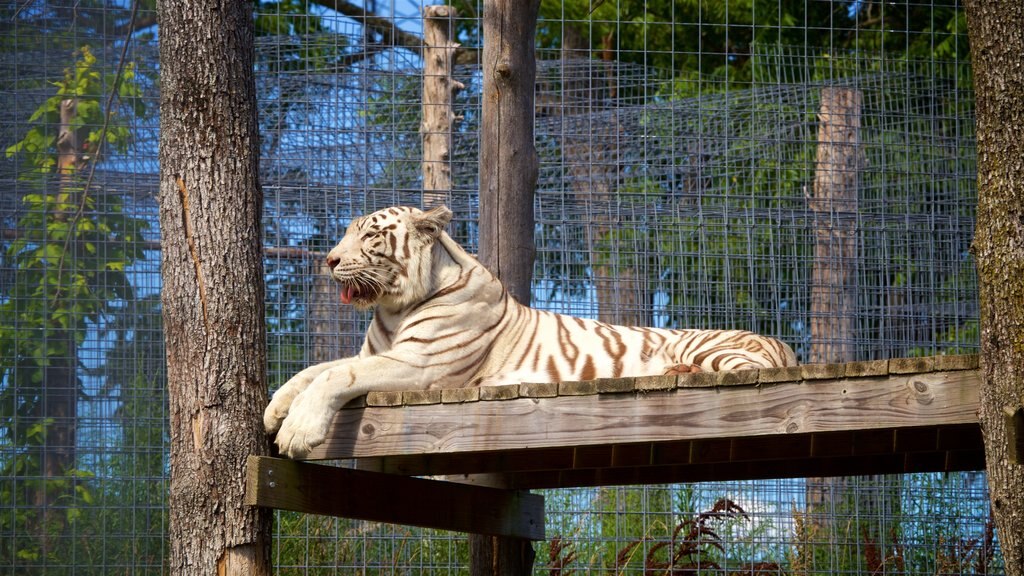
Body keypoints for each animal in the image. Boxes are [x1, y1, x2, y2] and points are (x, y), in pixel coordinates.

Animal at [264, 206, 798, 457]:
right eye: (347, 232)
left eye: (371, 235)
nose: (329, 260)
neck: (394, 308)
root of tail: (784, 344)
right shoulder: (374, 353)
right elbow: (314, 370)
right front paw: (274, 410)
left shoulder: (419, 366)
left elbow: (336, 377)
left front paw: (297, 433)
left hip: (716, 349)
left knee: (730, 371)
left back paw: (676, 370)